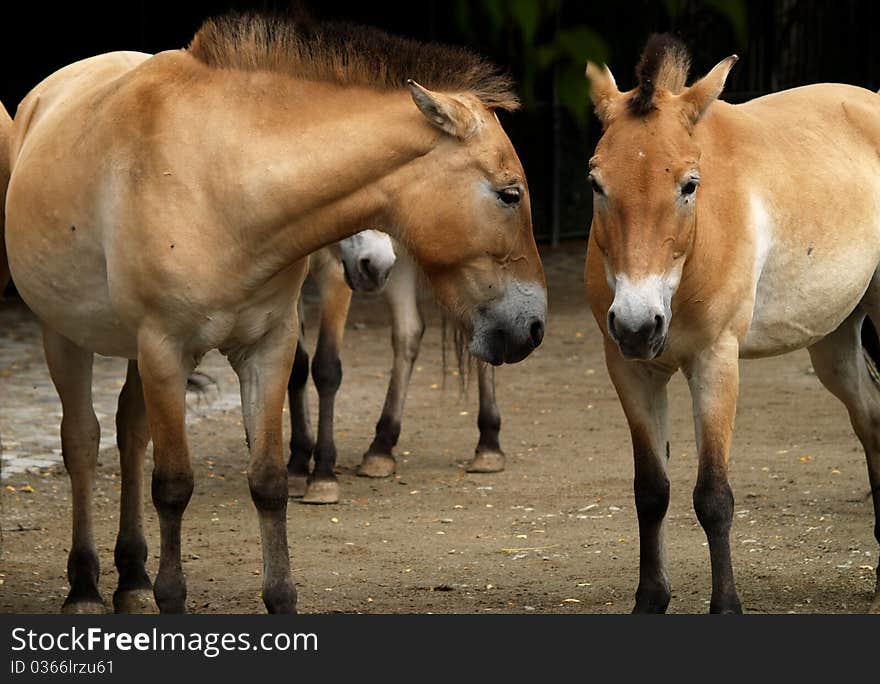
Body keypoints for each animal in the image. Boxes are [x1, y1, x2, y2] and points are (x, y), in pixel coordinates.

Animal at [5, 14, 544, 616]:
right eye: (509, 194)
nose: (532, 326)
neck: (219, 182)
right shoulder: (165, 350)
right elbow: (173, 484)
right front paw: (172, 596)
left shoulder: (266, 346)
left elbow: (266, 479)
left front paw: (280, 593)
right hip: (67, 336)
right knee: (81, 441)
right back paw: (84, 587)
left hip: (132, 352)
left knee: (128, 434)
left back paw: (133, 578)